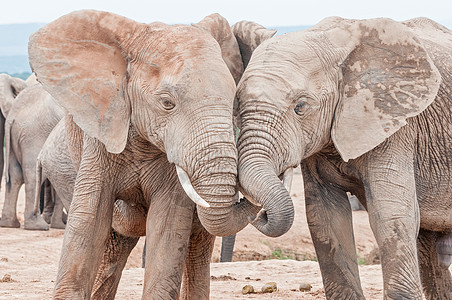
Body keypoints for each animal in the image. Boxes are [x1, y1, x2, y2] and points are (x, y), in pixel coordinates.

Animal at [0, 83, 65, 229]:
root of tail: (13, 115)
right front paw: (60, 225)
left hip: (15, 138)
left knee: (15, 176)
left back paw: (10, 224)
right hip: (33, 136)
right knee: (33, 176)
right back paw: (38, 226)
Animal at [27, 10, 264, 298]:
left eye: (234, 103)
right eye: (167, 103)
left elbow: (167, 228)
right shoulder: (102, 132)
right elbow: (88, 221)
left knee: (196, 245)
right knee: (113, 245)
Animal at [237, 17, 452, 300]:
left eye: (300, 107)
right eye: (236, 105)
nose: (257, 214)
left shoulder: (396, 124)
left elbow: (390, 214)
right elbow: (324, 217)